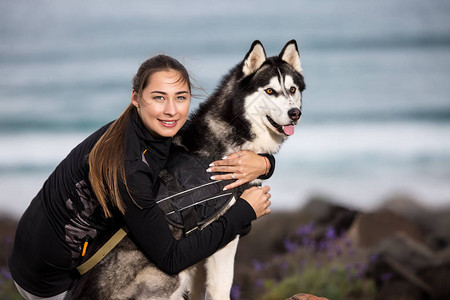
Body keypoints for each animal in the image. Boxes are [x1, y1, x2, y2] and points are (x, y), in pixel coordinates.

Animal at [70, 40, 306, 300]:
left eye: (292, 90)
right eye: (270, 91)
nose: (295, 114)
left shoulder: (205, 248)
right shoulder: (224, 237)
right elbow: (221, 288)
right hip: (170, 278)